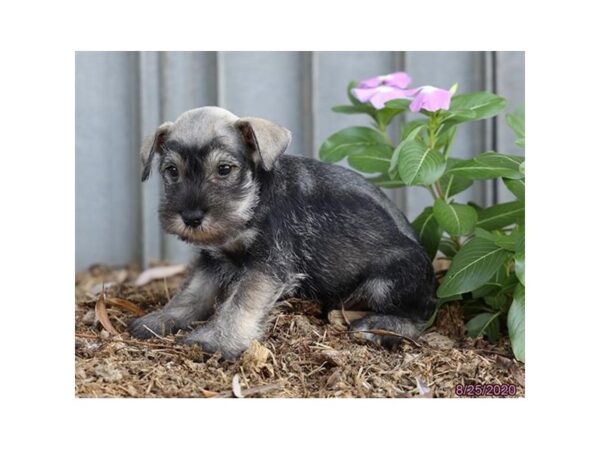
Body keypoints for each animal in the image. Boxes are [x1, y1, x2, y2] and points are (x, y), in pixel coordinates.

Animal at [129, 105, 436, 358]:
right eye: (172, 170)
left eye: (224, 169)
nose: (191, 217)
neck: (254, 201)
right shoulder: (213, 260)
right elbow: (191, 294)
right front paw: (160, 319)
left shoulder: (268, 264)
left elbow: (240, 303)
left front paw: (216, 341)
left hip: (388, 281)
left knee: (419, 319)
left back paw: (376, 327)